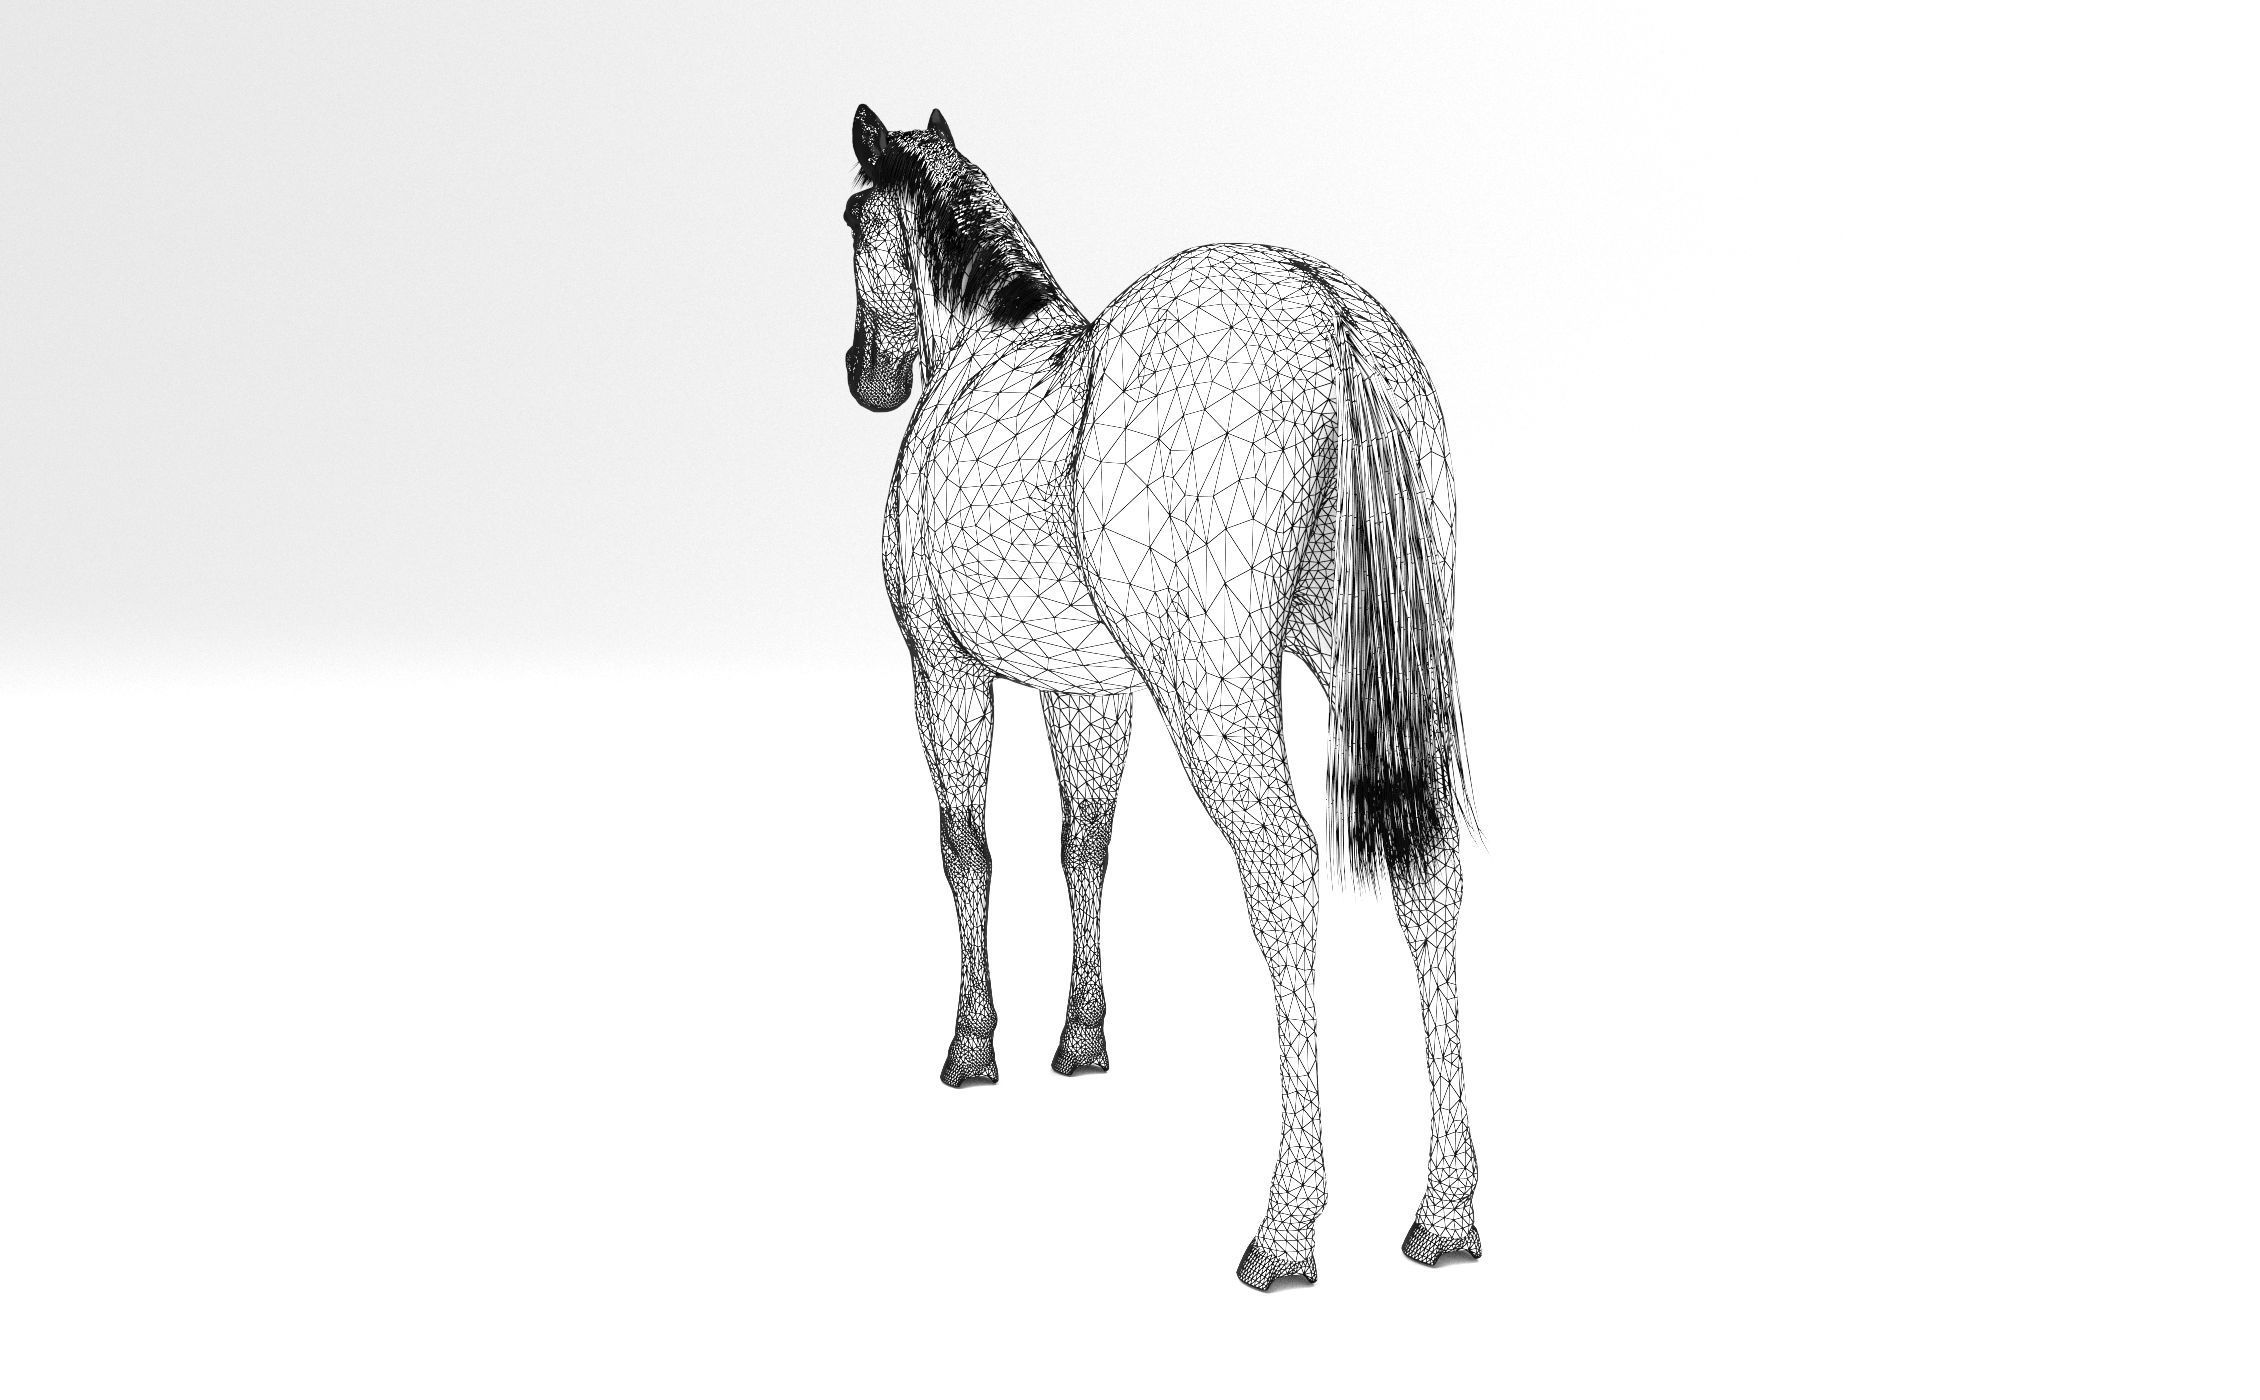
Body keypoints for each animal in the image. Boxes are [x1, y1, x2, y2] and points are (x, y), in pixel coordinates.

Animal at [839, 104, 1480, 1289]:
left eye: (855, 218)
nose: (867, 374)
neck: (981, 352)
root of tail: (1328, 311)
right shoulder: (1089, 689)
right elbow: (1083, 844)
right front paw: (1080, 1039)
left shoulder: (941, 667)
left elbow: (966, 848)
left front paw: (972, 1045)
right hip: (1381, 676)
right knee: (1431, 875)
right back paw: (1445, 1213)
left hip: (1218, 691)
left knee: (1283, 872)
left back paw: (1284, 1228)